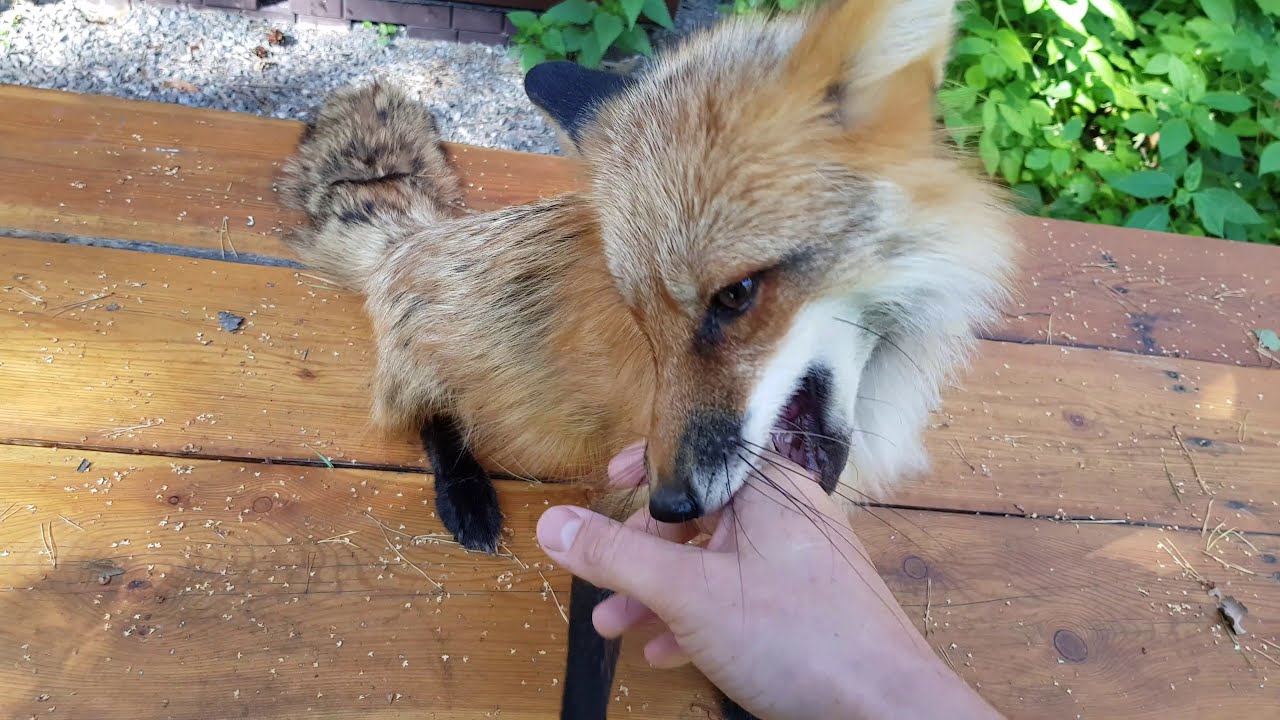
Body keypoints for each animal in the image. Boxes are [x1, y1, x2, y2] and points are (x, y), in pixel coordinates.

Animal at [277, 0, 1017, 716]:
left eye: (736, 295)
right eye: (641, 317)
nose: (670, 504)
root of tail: (413, 238)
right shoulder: (615, 504)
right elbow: (589, 666)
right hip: (439, 355)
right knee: (425, 418)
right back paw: (465, 492)